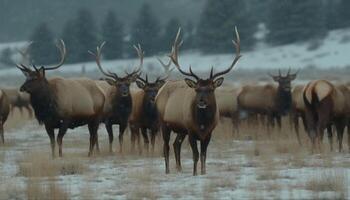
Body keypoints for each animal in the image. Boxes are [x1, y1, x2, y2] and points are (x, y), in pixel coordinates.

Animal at [156, 27, 241, 175]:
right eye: (197, 89)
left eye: (211, 89)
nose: (201, 102)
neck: (202, 123)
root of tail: (159, 91)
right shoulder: (191, 130)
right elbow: (195, 155)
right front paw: (195, 173)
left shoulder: (208, 133)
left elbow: (203, 155)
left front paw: (203, 172)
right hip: (164, 123)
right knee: (166, 147)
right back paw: (167, 171)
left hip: (181, 129)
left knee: (175, 144)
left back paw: (179, 168)